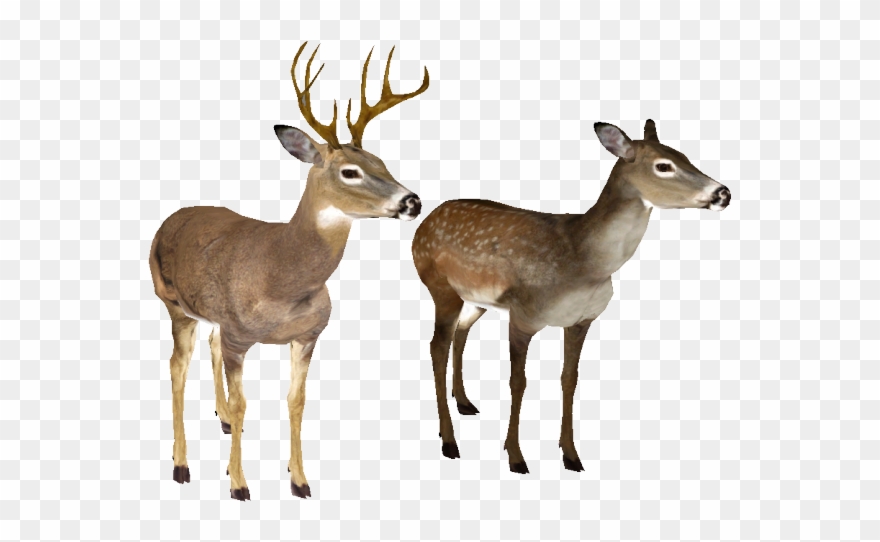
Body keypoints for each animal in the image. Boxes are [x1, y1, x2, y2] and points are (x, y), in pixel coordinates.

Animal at [148, 42, 429, 500]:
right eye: (350, 171)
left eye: (382, 162)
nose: (412, 202)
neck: (281, 275)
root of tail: (171, 218)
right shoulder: (240, 336)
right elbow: (245, 402)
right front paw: (239, 484)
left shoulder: (308, 335)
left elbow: (296, 401)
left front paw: (299, 480)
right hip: (173, 303)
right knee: (177, 366)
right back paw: (181, 463)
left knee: (209, 343)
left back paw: (222, 421)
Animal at [411, 120, 731, 474]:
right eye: (664, 166)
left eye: (685, 156)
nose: (723, 193)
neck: (583, 262)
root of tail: (425, 223)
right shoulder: (523, 315)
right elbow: (518, 381)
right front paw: (516, 456)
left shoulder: (581, 320)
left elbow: (569, 379)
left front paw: (570, 454)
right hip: (440, 286)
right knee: (437, 346)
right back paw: (449, 440)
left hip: (476, 300)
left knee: (461, 332)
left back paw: (465, 403)